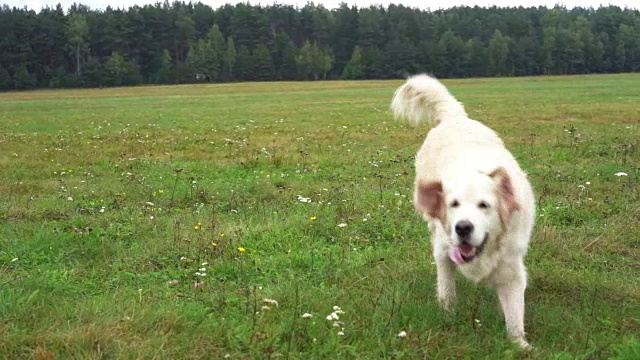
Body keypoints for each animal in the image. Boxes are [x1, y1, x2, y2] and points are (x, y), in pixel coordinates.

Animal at [390, 75, 536, 348]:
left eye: (484, 205)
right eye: (453, 204)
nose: (463, 228)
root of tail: (455, 118)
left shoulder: (511, 267)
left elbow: (514, 316)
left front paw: (521, 345)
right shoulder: (444, 248)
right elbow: (447, 286)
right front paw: (447, 314)